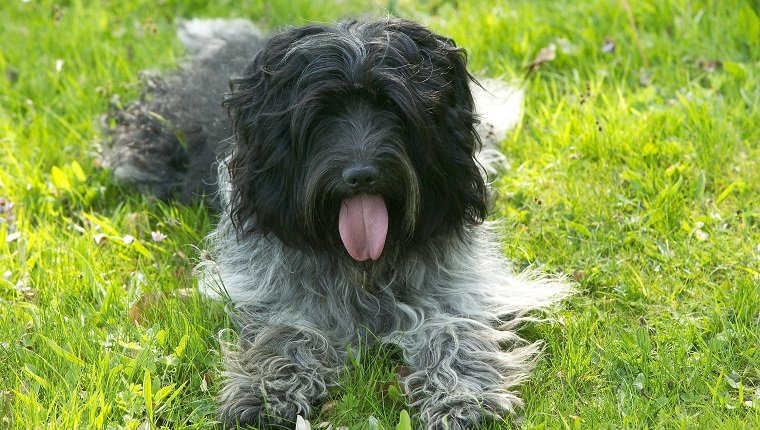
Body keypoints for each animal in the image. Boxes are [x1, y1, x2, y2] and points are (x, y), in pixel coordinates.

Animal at [105, 15, 568, 426]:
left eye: (390, 106)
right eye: (324, 112)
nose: (361, 175)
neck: (364, 268)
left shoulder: (458, 289)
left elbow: (454, 332)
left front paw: (462, 397)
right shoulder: (275, 292)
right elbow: (285, 334)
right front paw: (265, 394)